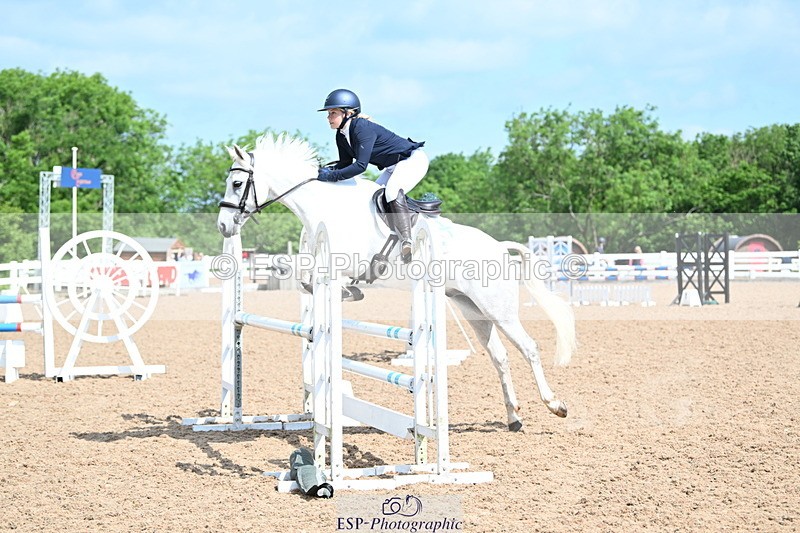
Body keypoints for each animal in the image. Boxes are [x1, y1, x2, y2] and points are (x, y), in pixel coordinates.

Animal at [217, 133, 577, 431]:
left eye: (237, 182)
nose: (223, 226)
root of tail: (499, 247)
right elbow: (303, 277)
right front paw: (344, 292)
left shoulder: (342, 262)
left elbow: (321, 279)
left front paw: (350, 292)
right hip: (473, 309)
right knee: (500, 356)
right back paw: (513, 417)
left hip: (498, 308)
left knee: (528, 347)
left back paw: (556, 405)